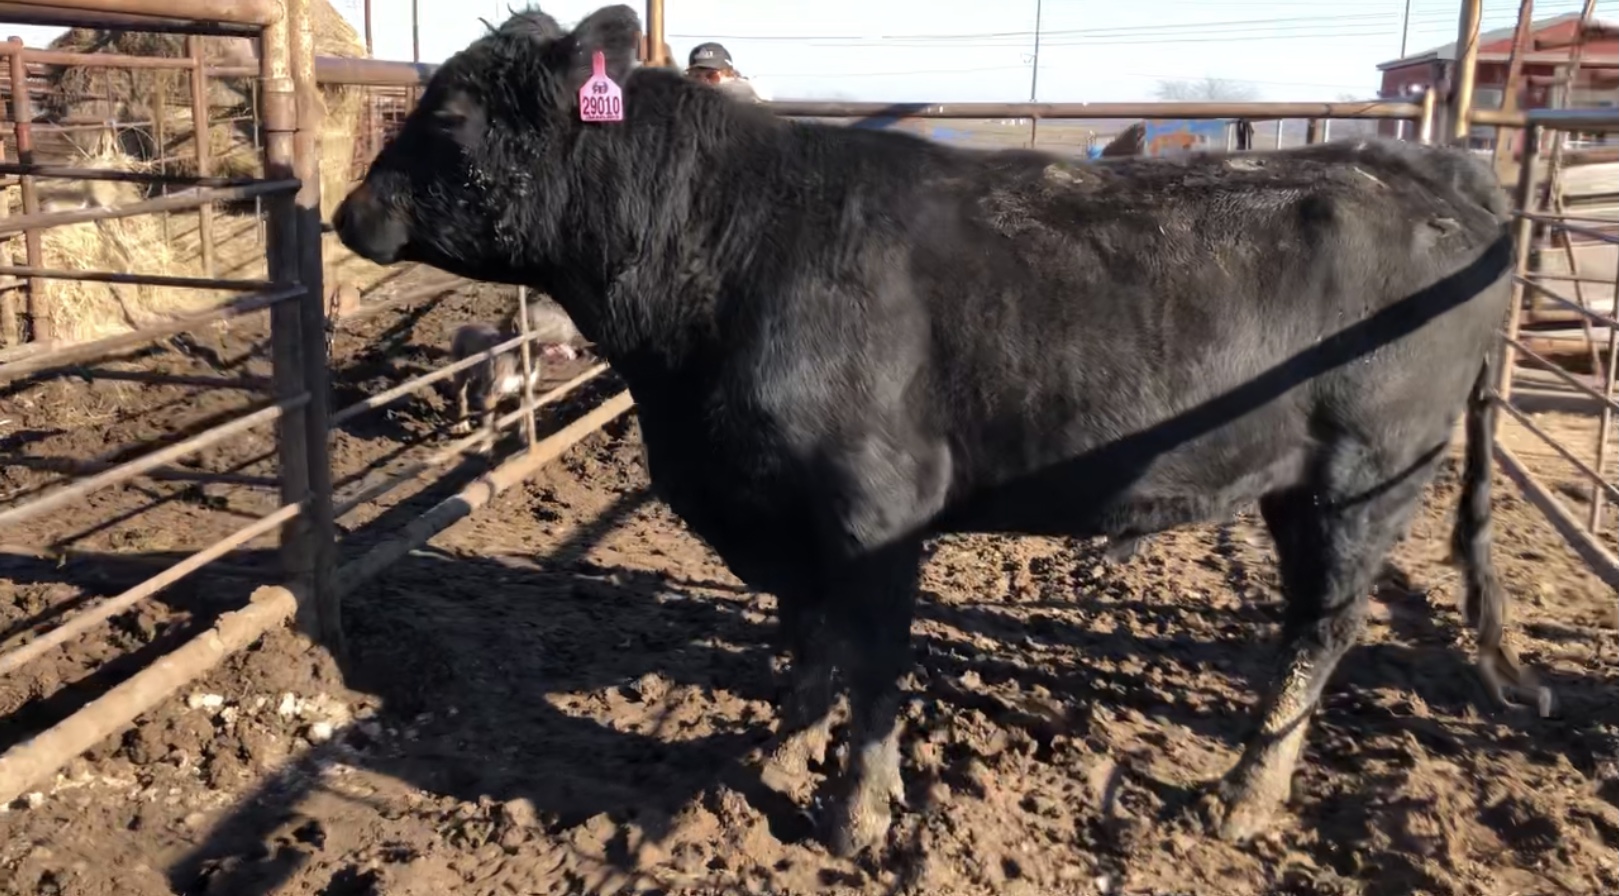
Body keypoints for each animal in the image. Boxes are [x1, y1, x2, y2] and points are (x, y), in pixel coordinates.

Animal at [328, 6, 1554, 861]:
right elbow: (808, 643)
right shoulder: (784, 514)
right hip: (1304, 486)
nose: (346, 211)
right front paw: (779, 749)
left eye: (449, 113)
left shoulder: (877, 508)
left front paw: (855, 814)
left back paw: (1244, 797)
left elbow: (872, 664)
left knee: (1322, 630)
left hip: (1367, 475)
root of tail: (1434, 165)